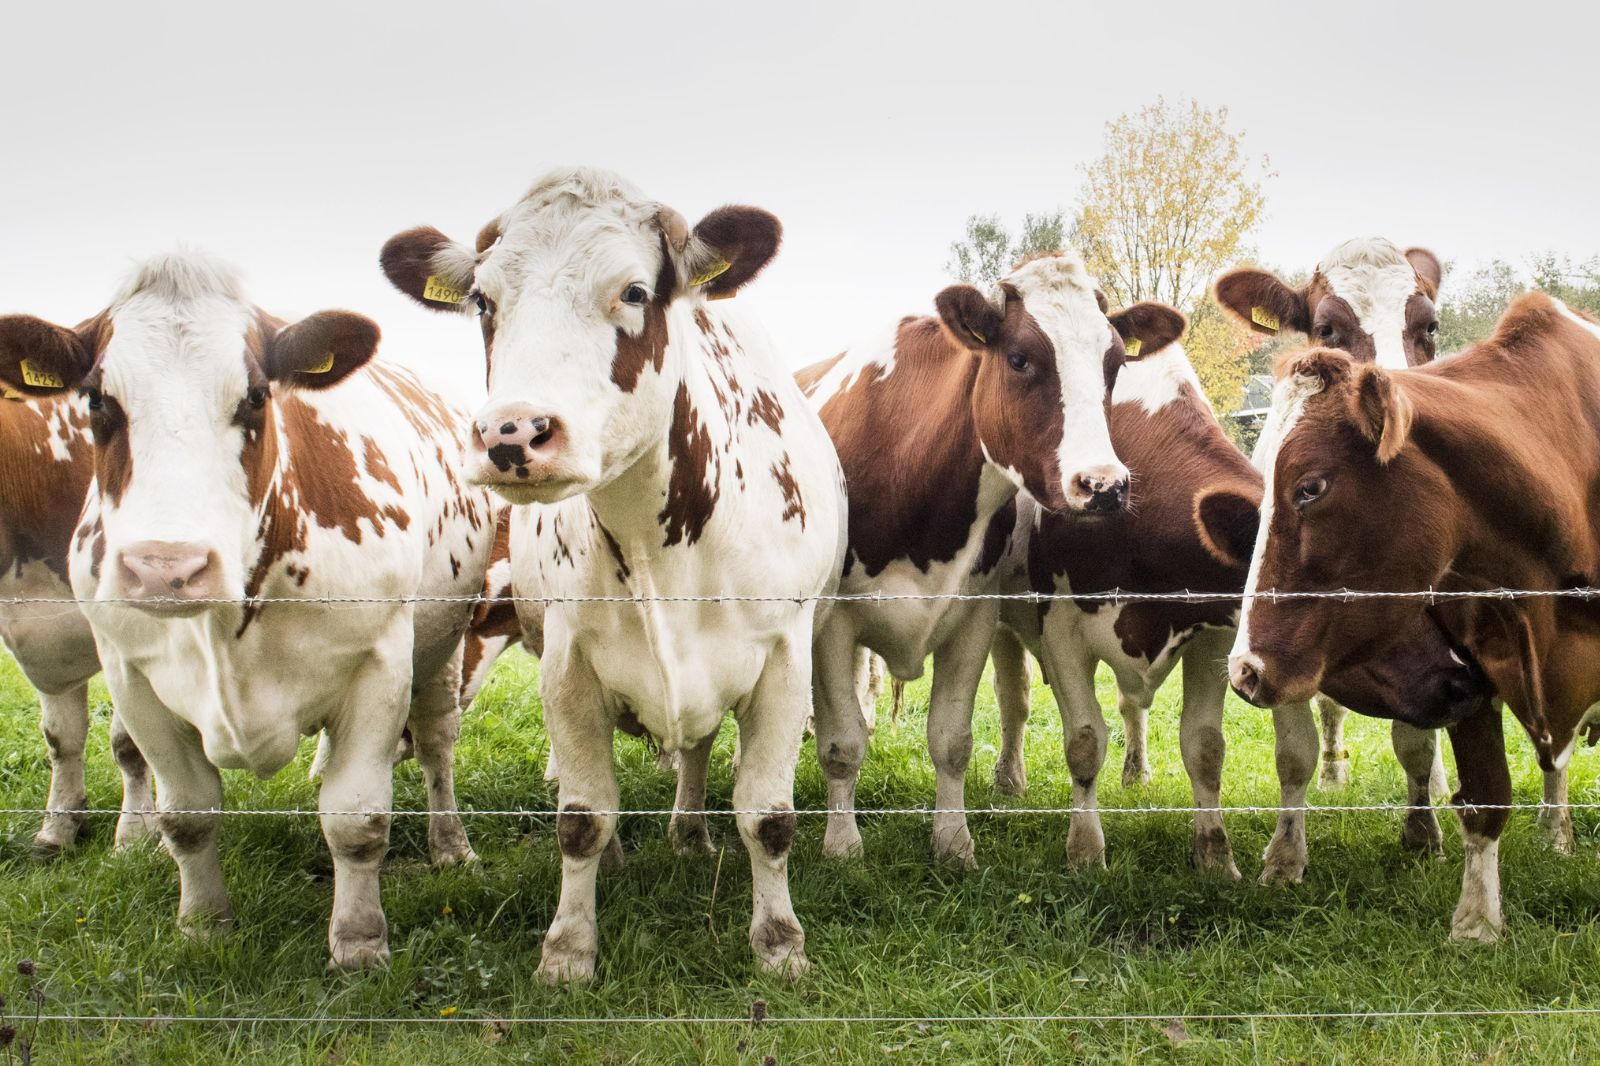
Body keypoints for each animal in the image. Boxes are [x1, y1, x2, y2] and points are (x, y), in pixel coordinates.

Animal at [382, 168, 851, 979]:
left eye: (633, 291)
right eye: (483, 301)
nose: (512, 434)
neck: (658, 538)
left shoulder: (784, 660)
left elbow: (768, 817)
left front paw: (780, 942)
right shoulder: (567, 663)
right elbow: (580, 817)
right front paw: (569, 948)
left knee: (697, 750)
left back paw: (690, 832)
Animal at [793, 252, 1184, 870]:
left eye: (1116, 363)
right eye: (1020, 358)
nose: (1104, 486)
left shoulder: (973, 617)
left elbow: (951, 739)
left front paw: (953, 843)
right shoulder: (834, 624)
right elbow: (841, 742)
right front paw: (843, 845)